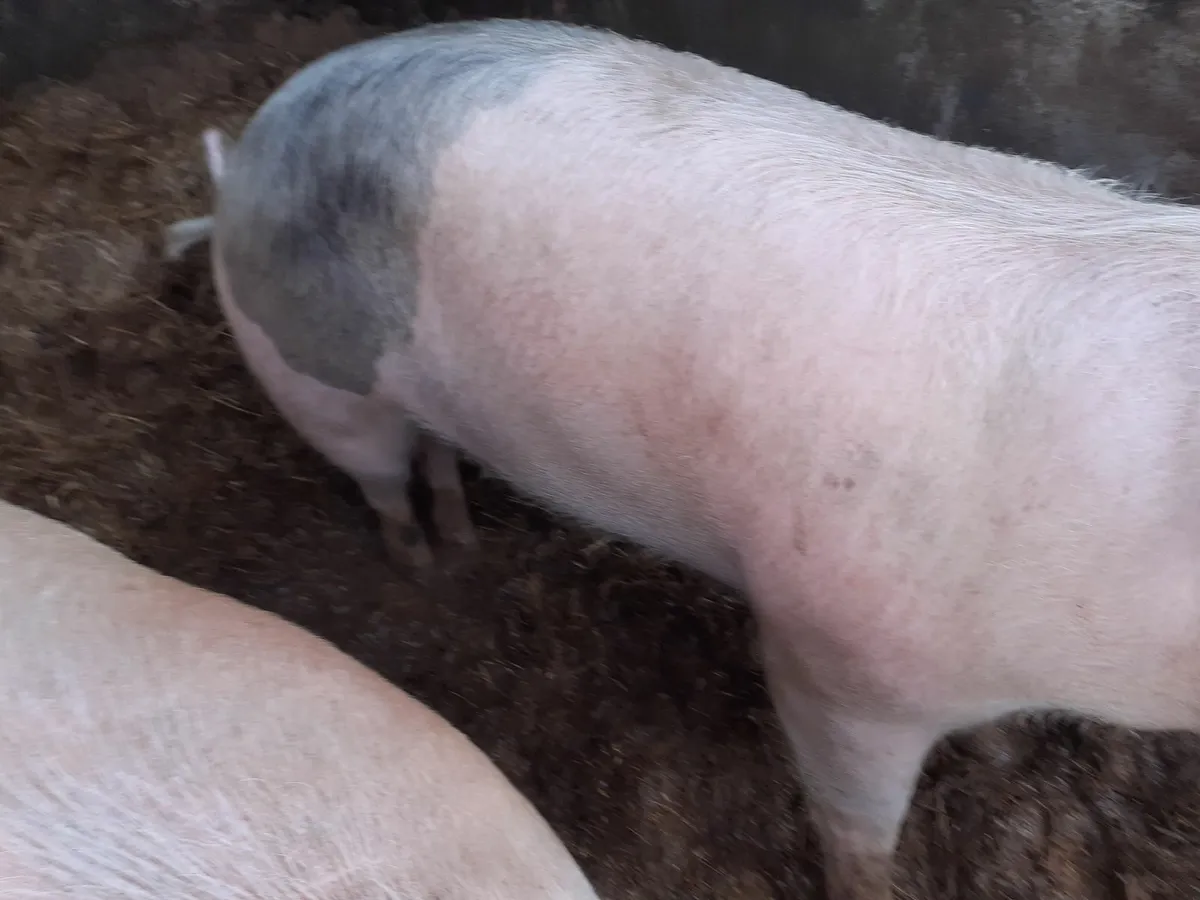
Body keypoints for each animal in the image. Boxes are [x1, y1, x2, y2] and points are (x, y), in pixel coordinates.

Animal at [163, 16, 1200, 899]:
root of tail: (242, 157)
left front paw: (991, 756)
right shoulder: (837, 655)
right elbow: (855, 825)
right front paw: (867, 882)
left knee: (440, 457)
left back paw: (460, 542)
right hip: (316, 380)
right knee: (382, 480)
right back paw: (421, 565)